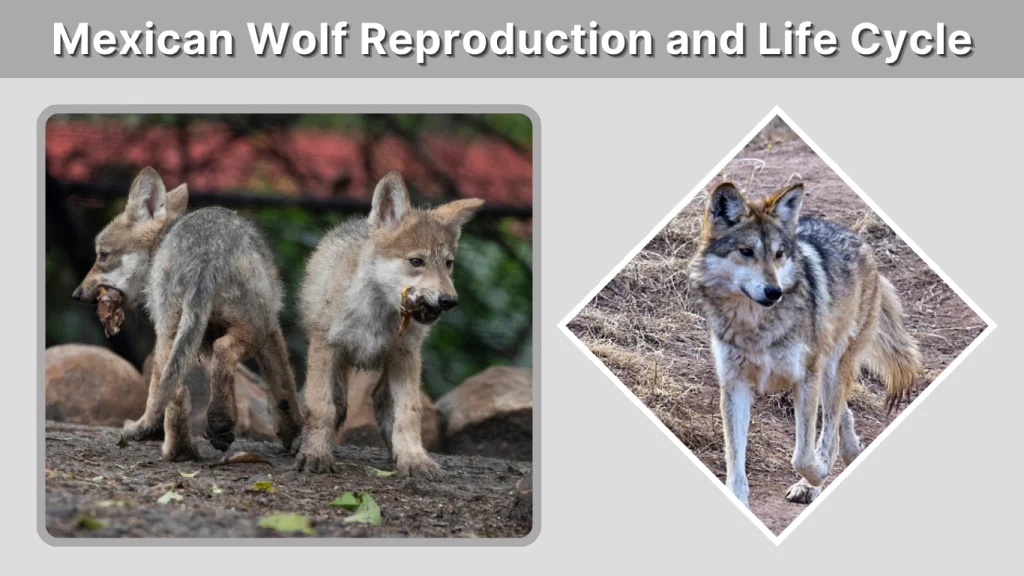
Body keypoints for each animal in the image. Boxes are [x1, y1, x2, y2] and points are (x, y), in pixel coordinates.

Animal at [72, 167, 303, 461]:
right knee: (220, 353)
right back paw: (217, 425)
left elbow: (282, 392)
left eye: (103, 255)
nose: (76, 294)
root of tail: (205, 255)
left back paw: (180, 449)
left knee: (177, 391)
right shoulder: (270, 328)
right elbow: (284, 390)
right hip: (248, 328)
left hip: (174, 335)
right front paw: (294, 434)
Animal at [294, 171, 483, 478]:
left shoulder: (406, 354)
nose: (449, 300)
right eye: (416, 261)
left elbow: (409, 413)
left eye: (448, 264)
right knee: (337, 401)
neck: (377, 313)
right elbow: (321, 406)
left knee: (382, 400)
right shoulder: (326, 346)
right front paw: (315, 454)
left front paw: (414, 459)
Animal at [688, 181, 921, 507]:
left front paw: (818, 474)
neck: (757, 326)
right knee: (841, 414)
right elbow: (735, 463)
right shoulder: (735, 384)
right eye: (746, 252)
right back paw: (851, 452)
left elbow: (802, 455)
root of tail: (857, 239)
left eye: (779, 254)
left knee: (831, 424)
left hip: (832, 368)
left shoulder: (805, 377)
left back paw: (816, 479)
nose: (774, 292)